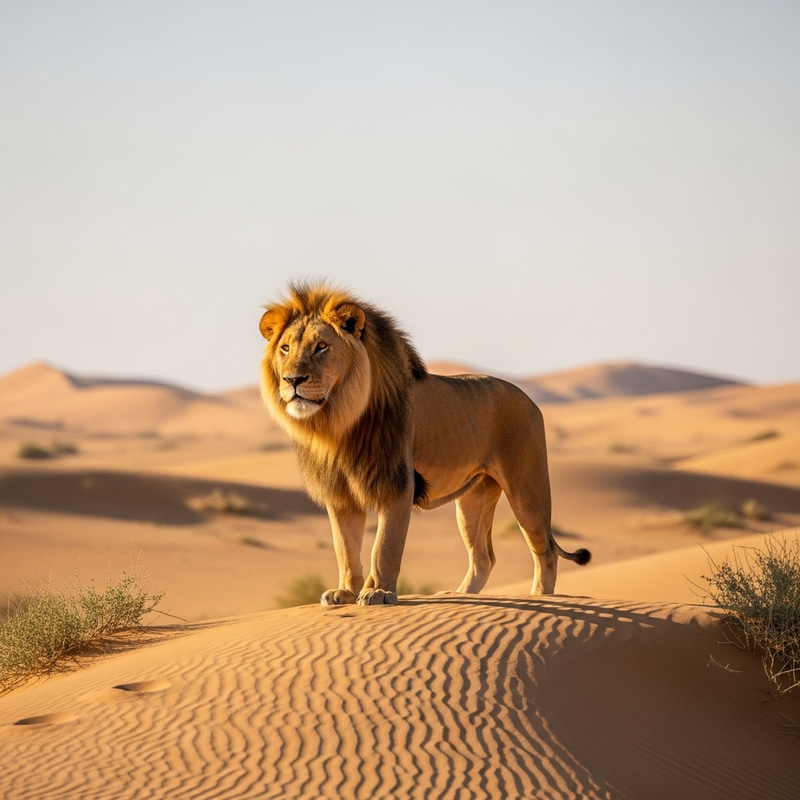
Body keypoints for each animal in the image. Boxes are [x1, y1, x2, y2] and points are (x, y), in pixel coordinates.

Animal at [259, 281, 590, 605]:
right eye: (285, 348)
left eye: (322, 347)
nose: (292, 380)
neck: (337, 423)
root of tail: (529, 399)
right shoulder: (339, 492)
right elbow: (345, 547)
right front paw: (347, 592)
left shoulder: (397, 482)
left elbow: (385, 546)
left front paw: (379, 593)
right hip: (473, 499)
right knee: (483, 557)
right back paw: (457, 596)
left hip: (527, 489)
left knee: (545, 551)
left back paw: (541, 597)